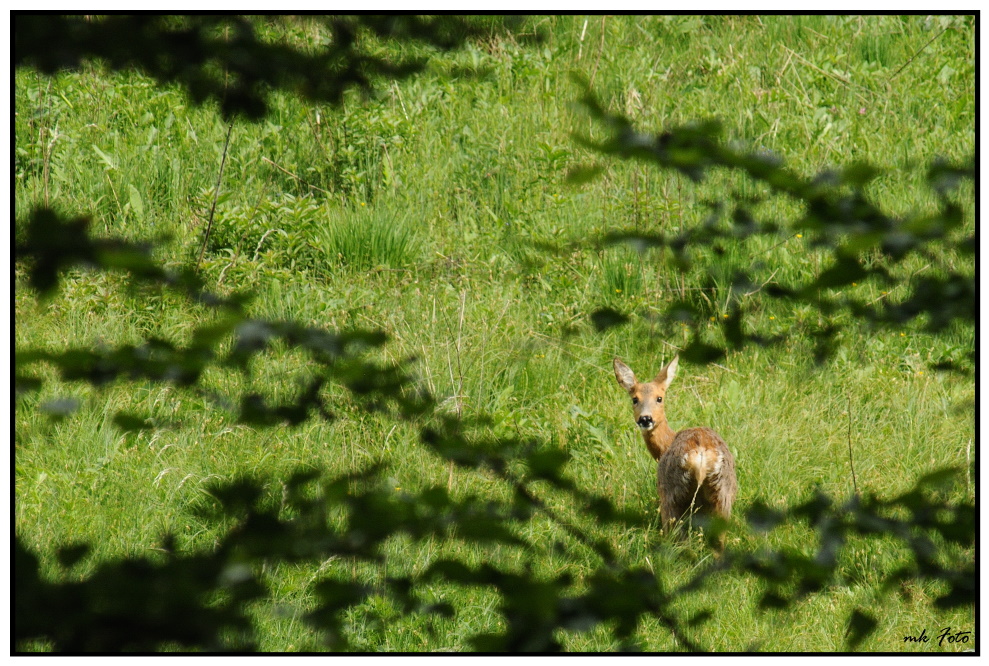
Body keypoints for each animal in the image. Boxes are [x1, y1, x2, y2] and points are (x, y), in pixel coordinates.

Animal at [612, 356, 736, 548]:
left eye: (659, 398)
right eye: (634, 399)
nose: (645, 419)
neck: (666, 443)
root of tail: (700, 457)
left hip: (672, 494)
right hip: (723, 493)